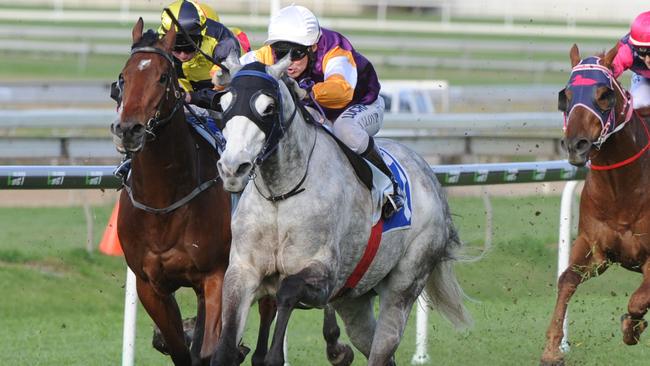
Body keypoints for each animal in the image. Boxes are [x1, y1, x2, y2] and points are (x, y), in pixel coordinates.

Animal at [108, 18, 274, 364]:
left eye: (162, 76)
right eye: (122, 77)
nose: (129, 130)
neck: (164, 202)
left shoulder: (217, 275)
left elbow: (210, 351)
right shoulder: (150, 285)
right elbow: (180, 350)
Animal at [213, 57, 470, 366]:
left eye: (268, 107)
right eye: (224, 103)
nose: (232, 168)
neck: (281, 195)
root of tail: (430, 177)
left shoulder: (324, 277)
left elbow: (287, 291)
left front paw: (274, 355)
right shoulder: (243, 272)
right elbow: (225, 345)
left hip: (406, 281)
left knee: (383, 346)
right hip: (354, 300)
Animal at [540, 44, 648, 364]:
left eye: (604, 94)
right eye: (566, 95)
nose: (576, 145)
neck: (621, 190)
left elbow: (637, 302)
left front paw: (632, 328)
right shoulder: (593, 245)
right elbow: (566, 280)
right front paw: (552, 349)